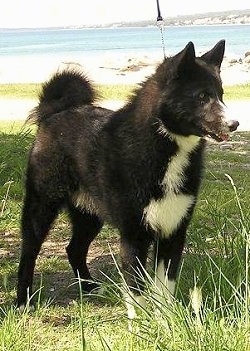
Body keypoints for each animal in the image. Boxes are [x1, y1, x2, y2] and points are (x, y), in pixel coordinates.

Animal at [17, 40, 238, 316]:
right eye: (201, 96)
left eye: (221, 94)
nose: (235, 123)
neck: (165, 148)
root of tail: (55, 113)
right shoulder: (135, 235)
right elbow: (136, 289)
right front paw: (141, 322)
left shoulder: (173, 231)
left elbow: (165, 287)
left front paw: (166, 319)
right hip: (42, 205)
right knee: (29, 251)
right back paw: (23, 301)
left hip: (89, 215)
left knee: (74, 249)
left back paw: (90, 287)